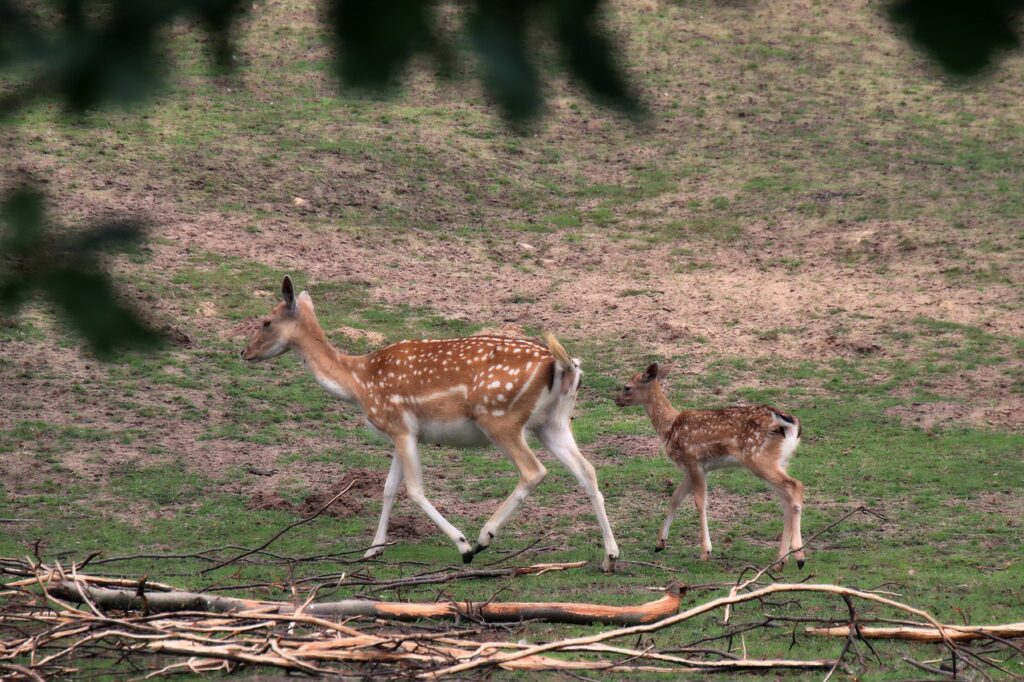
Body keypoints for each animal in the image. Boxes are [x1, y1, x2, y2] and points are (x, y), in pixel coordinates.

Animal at [239, 274, 618, 569]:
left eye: (266, 321)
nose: (244, 352)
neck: (358, 383)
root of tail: (565, 366)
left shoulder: (399, 424)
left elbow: (414, 489)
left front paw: (463, 546)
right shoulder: (401, 432)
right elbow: (389, 488)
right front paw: (372, 550)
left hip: (500, 417)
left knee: (534, 471)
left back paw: (484, 537)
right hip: (552, 422)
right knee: (587, 470)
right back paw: (610, 556)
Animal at [610, 364, 802, 565]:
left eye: (627, 387)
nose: (616, 400)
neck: (669, 427)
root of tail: (791, 425)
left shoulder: (694, 461)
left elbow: (699, 502)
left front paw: (705, 551)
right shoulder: (689, 468)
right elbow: (676, 497)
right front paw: (660, 542)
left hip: (759, 458)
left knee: (796, 486)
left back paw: (798, 555)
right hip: (779, 461)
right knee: (786, 500)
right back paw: (781, 560)